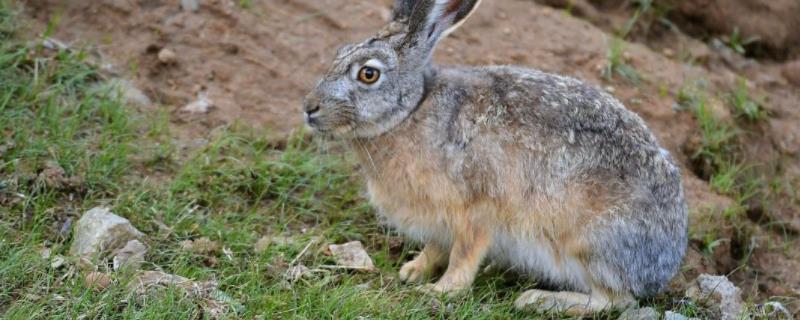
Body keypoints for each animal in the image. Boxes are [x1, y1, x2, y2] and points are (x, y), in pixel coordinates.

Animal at [300, 0, 688, 316]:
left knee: (615, 300)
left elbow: (463, 255)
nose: (309, 108)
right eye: (339, 52)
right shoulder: (439, 221)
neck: (412, 110)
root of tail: (665, 264)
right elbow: (436, 249)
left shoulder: (475, 211)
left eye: (369, 74)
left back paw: (539, 300)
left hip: (590, 244)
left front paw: (441, 291)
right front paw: (412, 271)